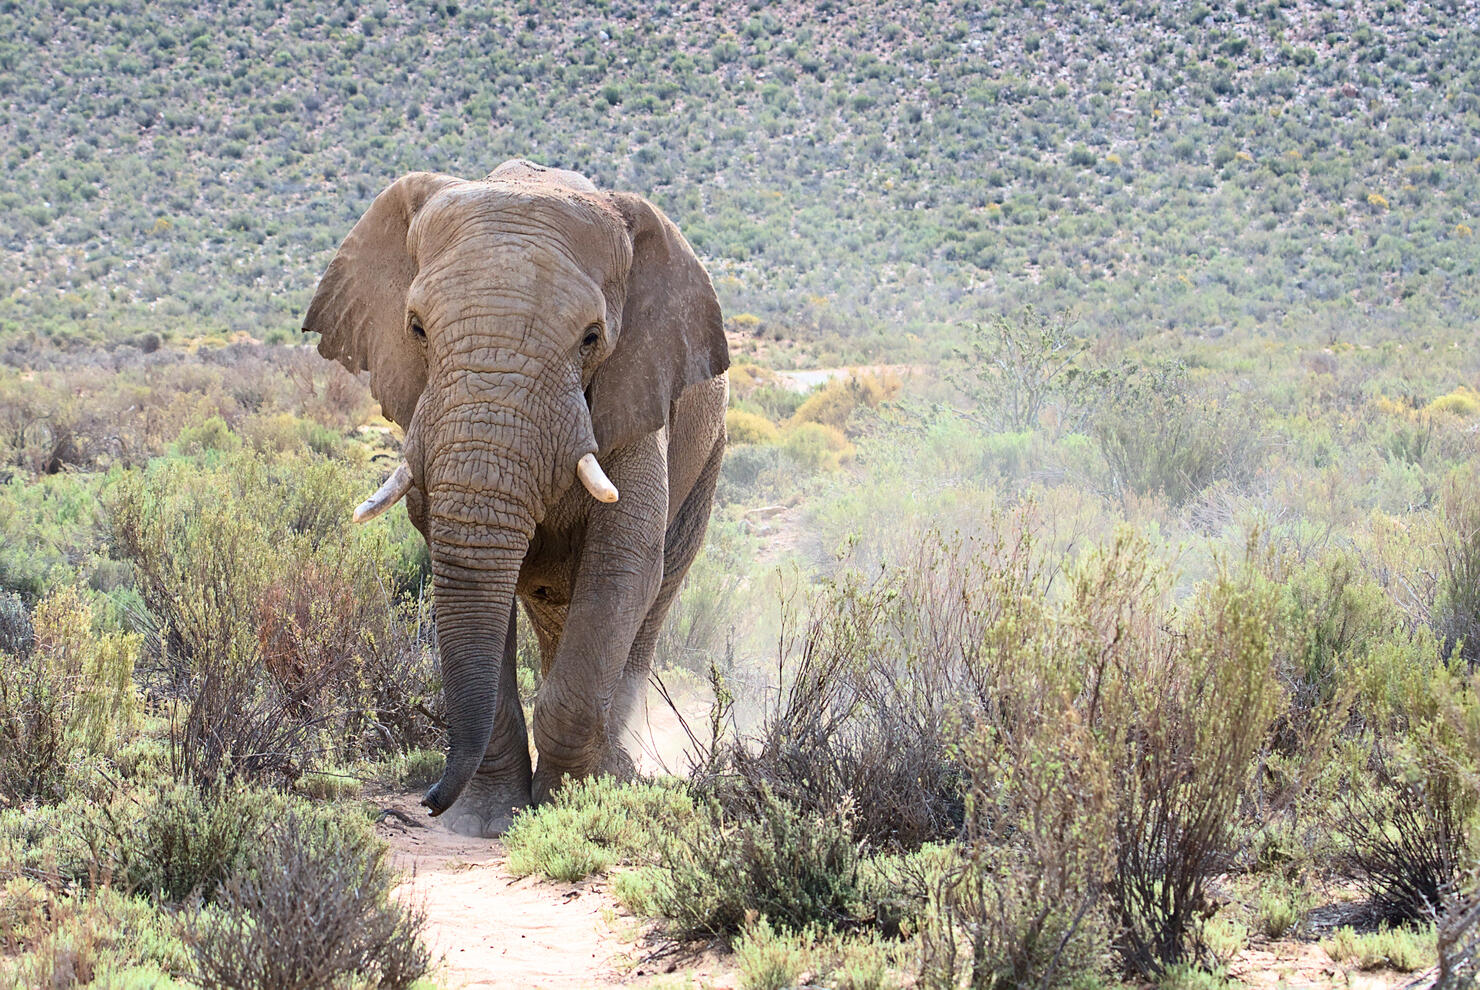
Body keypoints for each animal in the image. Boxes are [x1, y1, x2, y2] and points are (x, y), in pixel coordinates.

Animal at [301, 156, 728, 834]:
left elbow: (624, 565)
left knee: (653, 599)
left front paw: (569, 805)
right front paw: (486, 822)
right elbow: (463, 568)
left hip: (707, 458)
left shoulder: (639, 391)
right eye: (416, 328)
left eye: (591, 338)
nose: (424, 802)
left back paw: (619, 769)